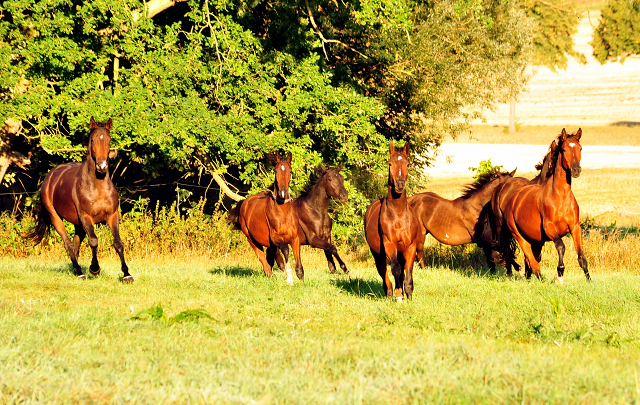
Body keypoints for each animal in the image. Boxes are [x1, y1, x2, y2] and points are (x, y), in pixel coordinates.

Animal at [25, 117, 133, 280]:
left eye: (109, 140)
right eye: (93, 140)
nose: (101, 167)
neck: (97, 187)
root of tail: (50, 176)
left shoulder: (113, 215)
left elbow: (118, 243)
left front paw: (127, 274)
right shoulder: (86, 217)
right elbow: (93, 241)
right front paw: (94, 269)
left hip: (78, 224)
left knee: (75, 244)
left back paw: (77, 271)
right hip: (56, 217)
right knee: (68, 244)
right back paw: (80, 272)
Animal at [228, 152, 302, 284]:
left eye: (290, 171)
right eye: (276, 171)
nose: (283, 193)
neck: (282, 212)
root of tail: (244, 202)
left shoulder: (295, 238)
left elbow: (297, 257)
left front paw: (300, 275)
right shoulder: (276, 237)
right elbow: (285, 249)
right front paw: (289, 278)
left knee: (271, 255)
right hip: (251, 238)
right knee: (263, 258)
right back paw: (270, 272)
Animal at [364, 141, 420, 300]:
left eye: (407, 164)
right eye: (390, 163)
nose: (399, 184)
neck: (398, 216)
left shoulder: (411, 246)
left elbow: (408, 270)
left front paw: (409, 295)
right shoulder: (389, 244)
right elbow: (395, 269)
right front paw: (399, 296)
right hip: (377, 254)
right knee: (383, 271)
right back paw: (389, 292)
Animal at [500, 128, 592, 282]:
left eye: (580, 148)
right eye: (564, 149)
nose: (576, 170)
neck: (560, 196)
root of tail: (512, 199)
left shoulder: (575, 227)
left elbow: (581, 255)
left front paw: (589, 280)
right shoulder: (549, 227)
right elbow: (560, 246)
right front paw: (560, 272)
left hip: (535, 238)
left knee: (531, 259)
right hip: (519, 235)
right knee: (531, 258)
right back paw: (539, 278)